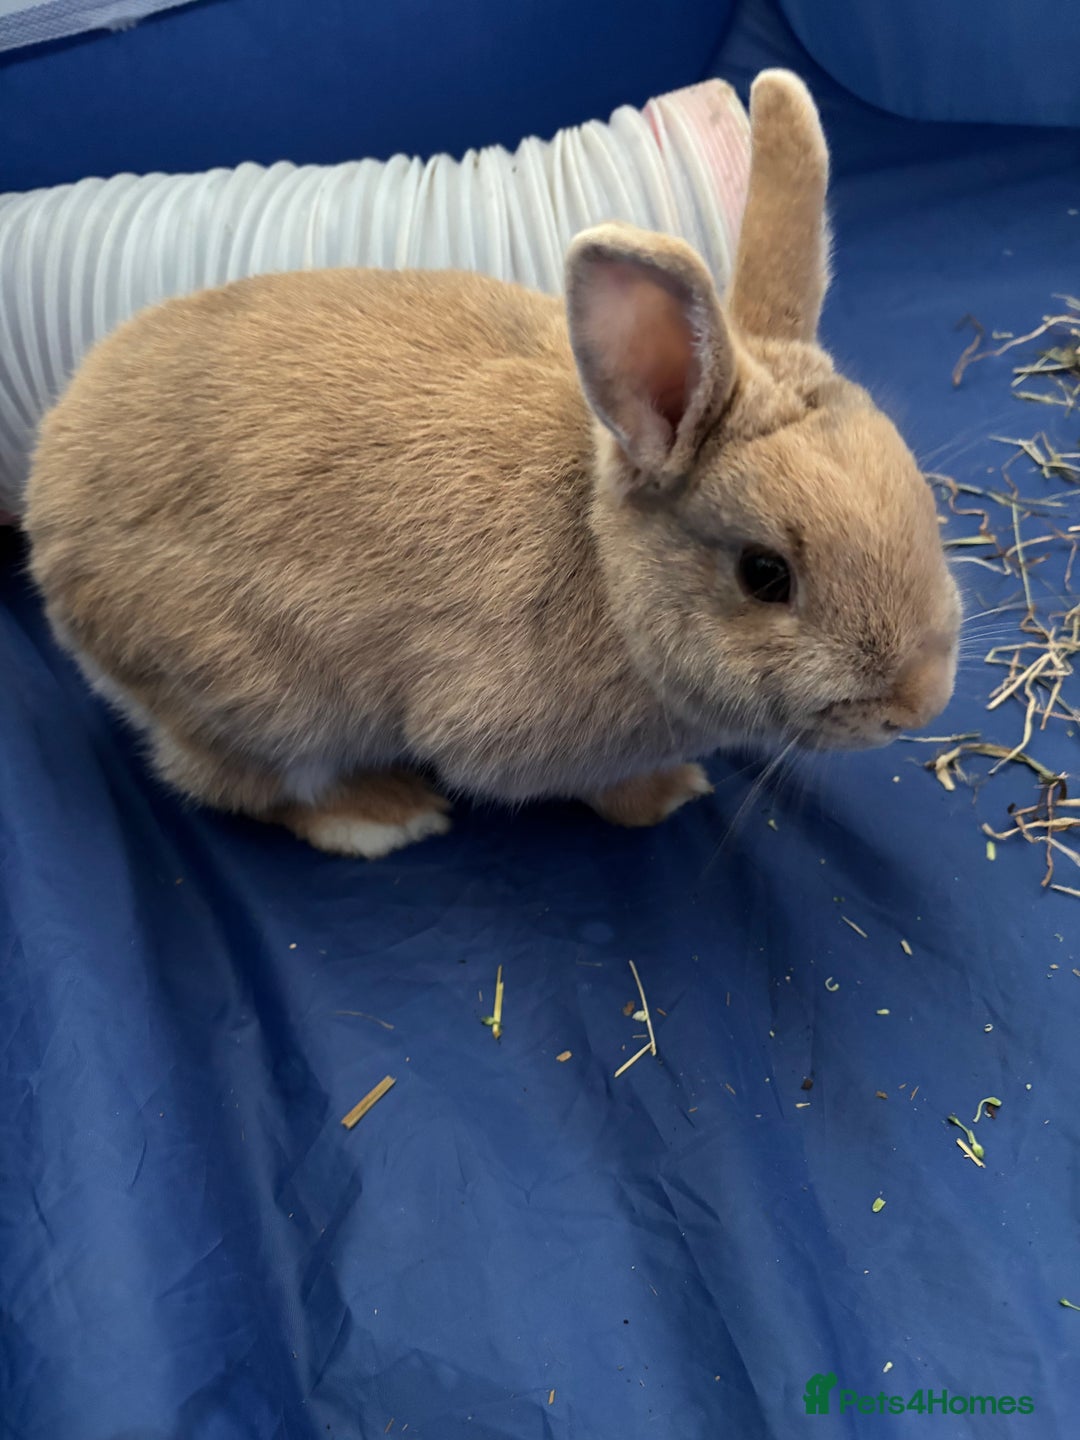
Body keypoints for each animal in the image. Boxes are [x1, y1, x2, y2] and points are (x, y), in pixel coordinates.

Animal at [25, 70, 960, 859]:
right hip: (259, 701)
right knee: (246, 786)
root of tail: (46, 492)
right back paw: (385, 814)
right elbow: (597, 787)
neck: (609, 567)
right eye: (765, 575)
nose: (919, 701)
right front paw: (668, 792)